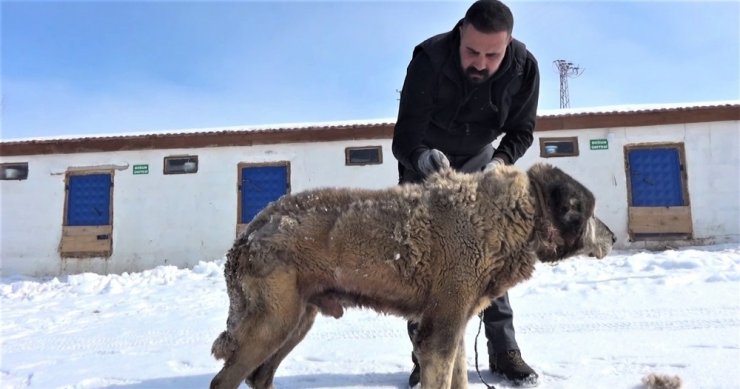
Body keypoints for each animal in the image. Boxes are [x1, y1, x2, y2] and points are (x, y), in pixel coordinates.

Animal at [207, 162, 612, 386]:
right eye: (589, 213)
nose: (611, 236)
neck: (509, 214)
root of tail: (253, 228)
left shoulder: (454, 324)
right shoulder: (438, 332)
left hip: (297, 319)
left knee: (260, 376)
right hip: (273, 320)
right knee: (225, 380)